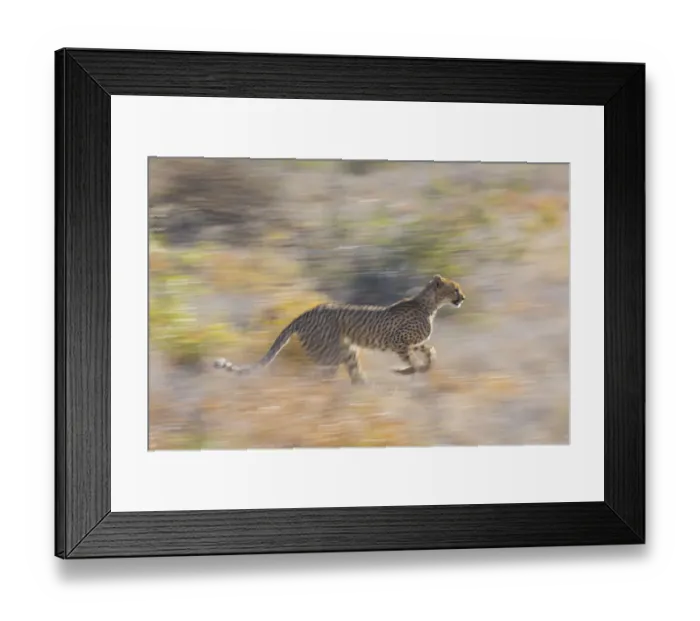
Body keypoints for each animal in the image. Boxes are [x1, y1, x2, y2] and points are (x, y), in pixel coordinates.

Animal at [214, 274, 466, 384]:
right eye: (455, 289)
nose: (463, 297)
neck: (430, 305)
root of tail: (306, 312)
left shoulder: (412, 342)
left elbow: (430, 352)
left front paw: (423, 366)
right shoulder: (398, 341)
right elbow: (413, 362)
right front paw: (405, 371)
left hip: (345, 351)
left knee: (350, 375)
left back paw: (361, 389)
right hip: (332, 353)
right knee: (317, 375)